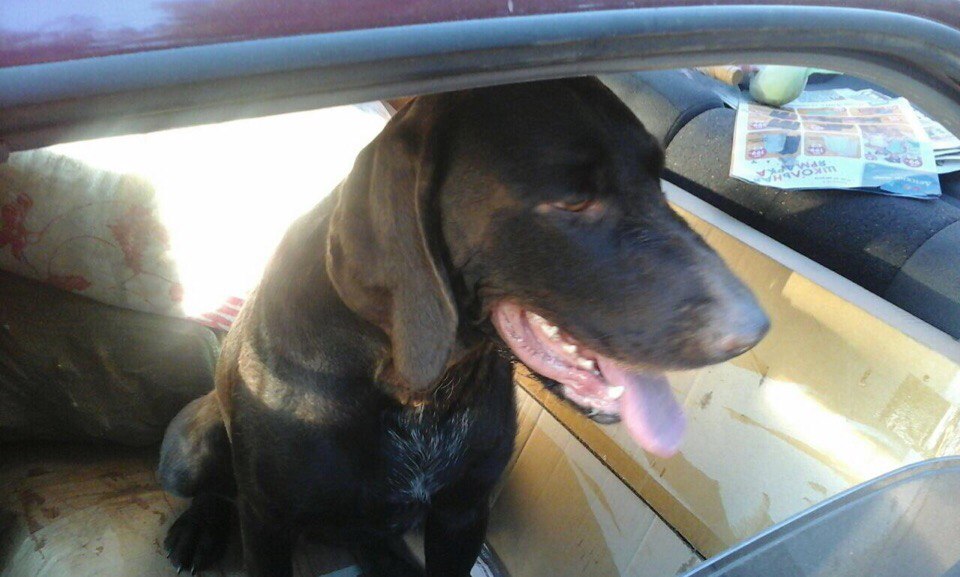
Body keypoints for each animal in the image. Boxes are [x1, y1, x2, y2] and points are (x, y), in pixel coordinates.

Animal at [158, 77, 769, 577]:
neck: (415, 394)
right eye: (573, 199)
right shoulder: (268, 523)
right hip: (193, 452)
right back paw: (198, 527)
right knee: (218, 491)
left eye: (658, 180)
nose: (754, 329)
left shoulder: (463, 512)